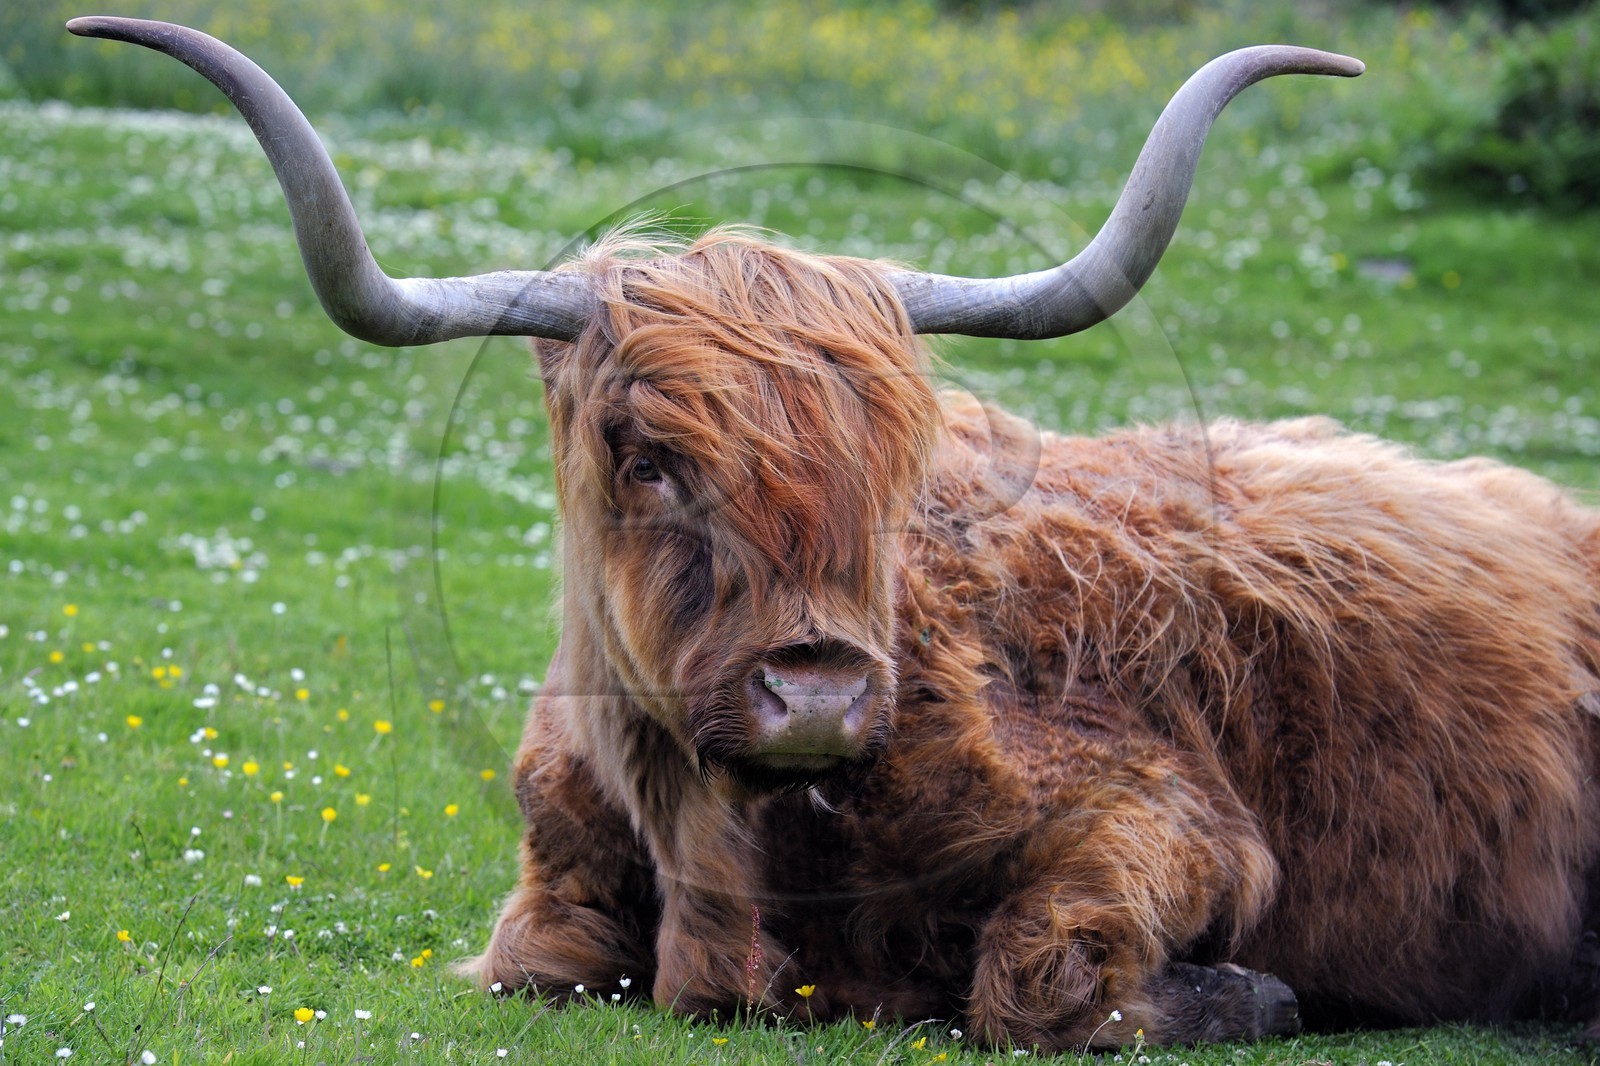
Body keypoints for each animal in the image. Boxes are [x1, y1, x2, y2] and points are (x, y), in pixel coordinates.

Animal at [70, 17, 1600, 1051]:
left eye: (900, 464)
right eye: (646, 456)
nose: (818, 690)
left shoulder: (1160, 813)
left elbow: (1035, 980)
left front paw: (1256, 989)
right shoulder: (546, 894)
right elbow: (538, 958)